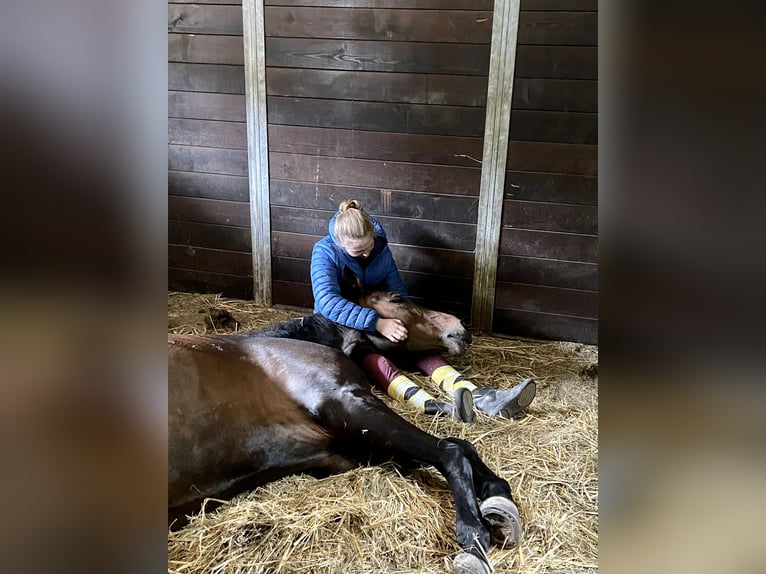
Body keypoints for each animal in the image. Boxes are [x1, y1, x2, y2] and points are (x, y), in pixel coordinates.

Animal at [170, 294, 524, 572]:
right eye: (398, 299)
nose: (461, 324)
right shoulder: (347, 403)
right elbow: (451, 449)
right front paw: (474, 533)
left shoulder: (345, 449)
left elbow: (455, 447)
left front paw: (497, 500)